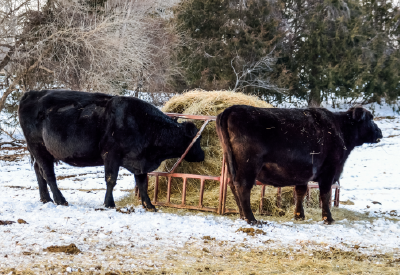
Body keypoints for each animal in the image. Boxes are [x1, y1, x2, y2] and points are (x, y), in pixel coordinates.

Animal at [18, 90, 205, 209]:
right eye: (198, 139)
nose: (203, 155)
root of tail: (32, 93)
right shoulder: (111, 155)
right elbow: (111, 180)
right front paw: (109, 203)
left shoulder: (139, 161)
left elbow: (143, 183)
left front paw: (149, 205)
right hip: (39, 147)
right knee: (48, 174)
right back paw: (60, 200)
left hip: (40, 152)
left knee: (38, 171)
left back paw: (45, 199)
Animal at [217, 106, 382, 225]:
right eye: (370, 118)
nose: (380, 132)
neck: (339, 129)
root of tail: (232, 109)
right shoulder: (329, 171)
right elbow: (325, 194)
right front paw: (328, 218)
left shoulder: (302, 173)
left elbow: (300, 192)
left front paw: (299, 215)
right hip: (249, 166)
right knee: (243, 187)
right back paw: (251, 219)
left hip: (232, 165)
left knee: (232, 185)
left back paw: (242, 216)